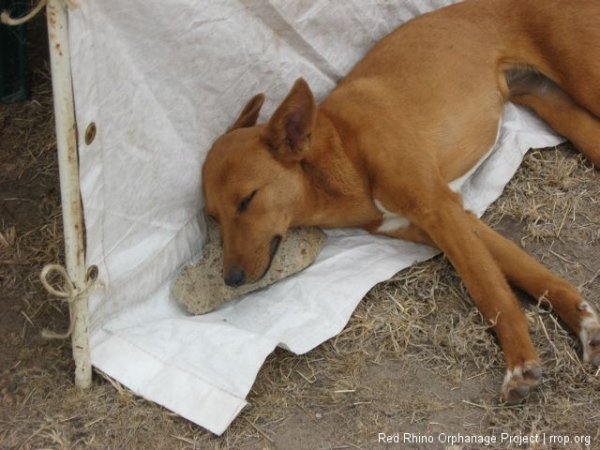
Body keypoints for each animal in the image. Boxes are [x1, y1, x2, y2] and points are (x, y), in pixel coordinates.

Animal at [202, 0, 600, 400]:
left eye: (246, 200)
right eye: (213, 218)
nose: (231, 280)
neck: (341, 152)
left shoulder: (438, 208)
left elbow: (487, 290)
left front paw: (518, 363)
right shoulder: (449, 218)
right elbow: (522, 270)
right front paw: (581, 318)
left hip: (586, 82)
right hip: (554, 105)